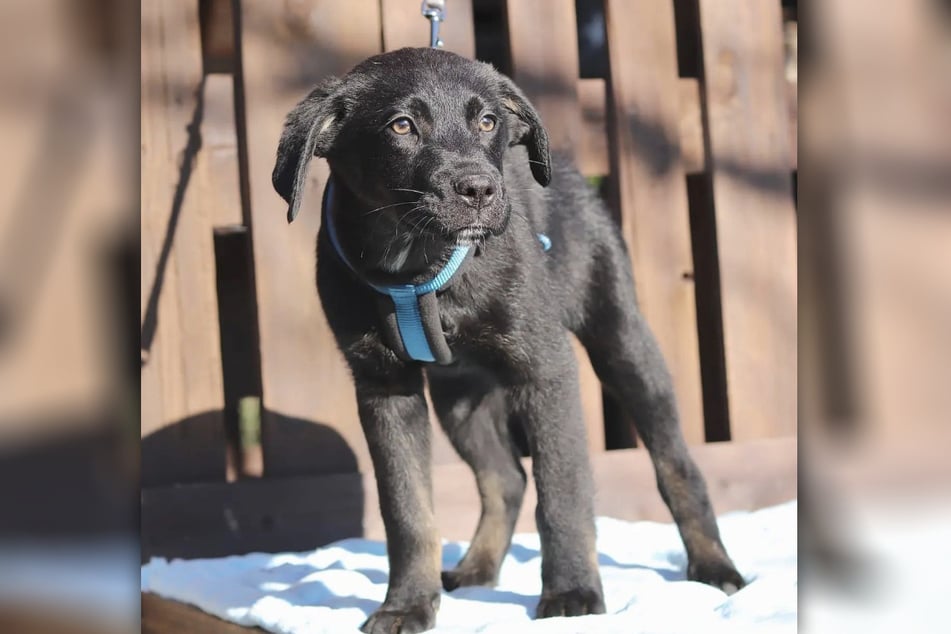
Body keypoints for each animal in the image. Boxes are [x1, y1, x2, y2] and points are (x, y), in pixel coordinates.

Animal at [272, 48, 748, 632]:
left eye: (487, 121)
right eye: (401, 126)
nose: (479, 190)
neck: (418, 261)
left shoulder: (546, 369)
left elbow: (562, 491)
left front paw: (571, 594)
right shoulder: (384, 387)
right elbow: (408, 510)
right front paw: (407, 604)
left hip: (622, 341)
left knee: (675, 463)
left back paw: (714, 565)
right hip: (459, 396)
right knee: (506, 479)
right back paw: (476, 568)